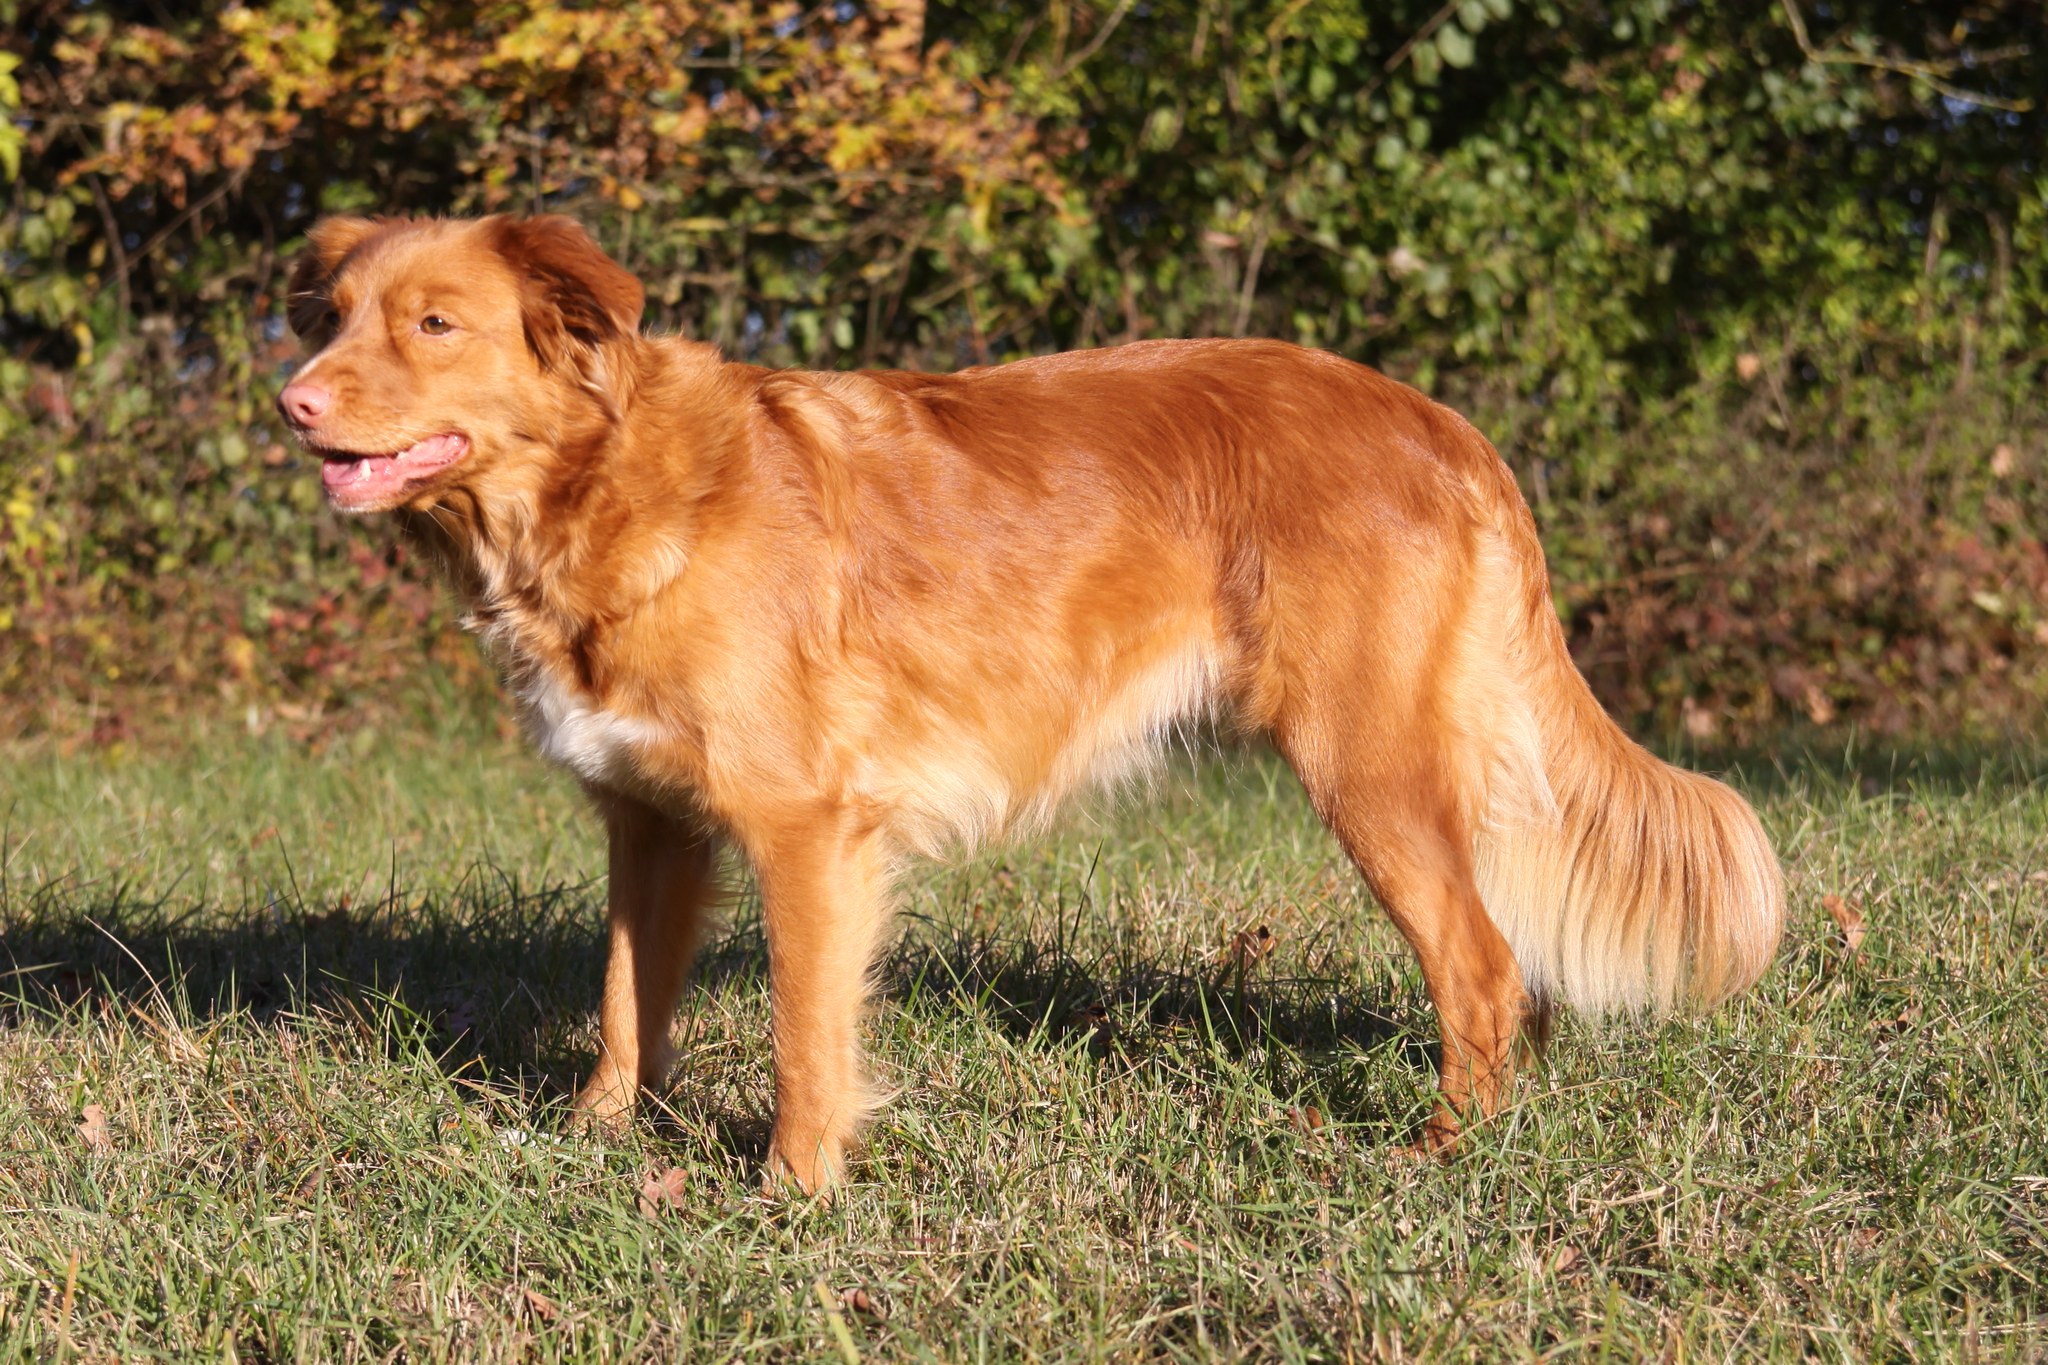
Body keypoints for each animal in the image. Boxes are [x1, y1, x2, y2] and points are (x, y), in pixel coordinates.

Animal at [277, 214, 1785, 1191]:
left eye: (434, 325)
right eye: (333, 318)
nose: (289, 403)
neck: (610, 488)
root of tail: (1434, 418)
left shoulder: (806, 829)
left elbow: (805, 1039)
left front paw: (791, 1196)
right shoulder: (649, 824)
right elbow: (622, 1004)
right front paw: (590, 1141)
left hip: (1367, 770)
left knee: (1482, 966)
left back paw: (1438, 1156)